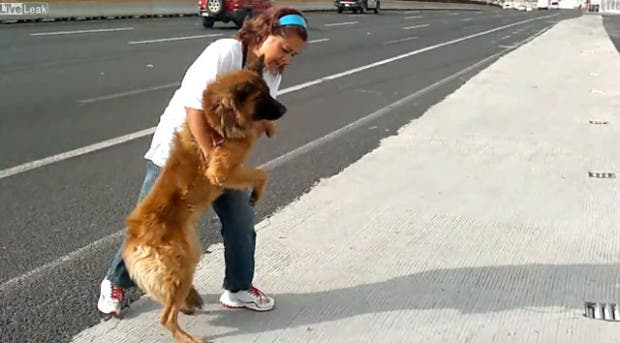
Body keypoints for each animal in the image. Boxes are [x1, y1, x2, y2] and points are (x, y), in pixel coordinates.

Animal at [121, 57, 286, 343]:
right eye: (261, 97)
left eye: (269, 92)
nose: (284, 109)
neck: (217, 117)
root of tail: (135, 238)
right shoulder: (223, 171)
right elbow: (260, 172)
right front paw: (256, 191)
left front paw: (268, 127)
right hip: (182, 268)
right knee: (165, 317)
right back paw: (187, 335)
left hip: (188, 258)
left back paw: (189, 305)